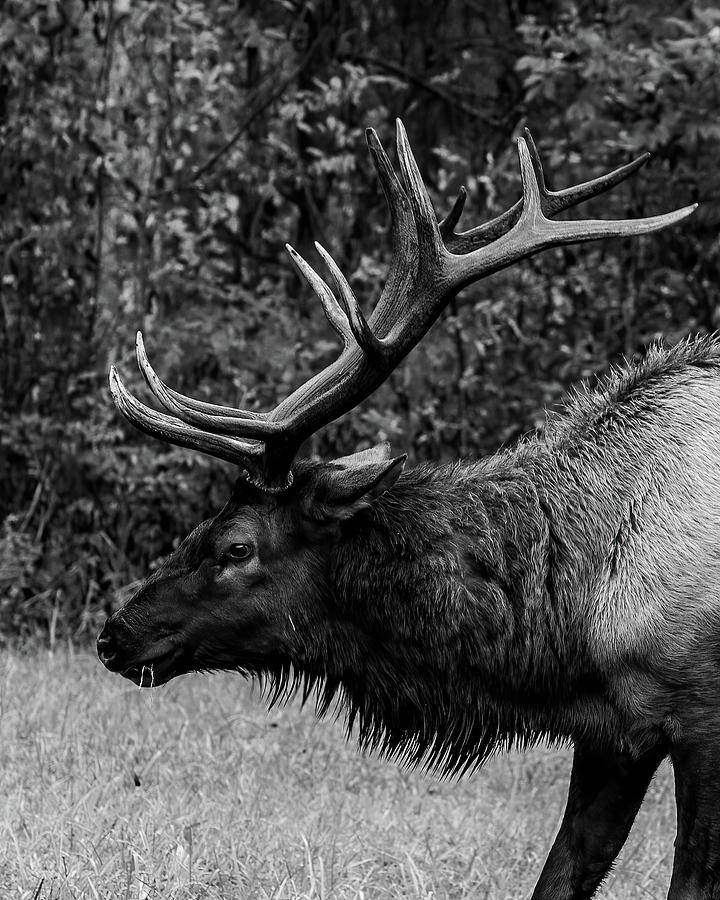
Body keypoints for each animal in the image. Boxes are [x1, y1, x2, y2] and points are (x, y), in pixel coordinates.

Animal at [94, 125, 704, 900]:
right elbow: (562, 873)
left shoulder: (699, 720)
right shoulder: (614, 729)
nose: (114, 634)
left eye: (236, 547)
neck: (570, 624)